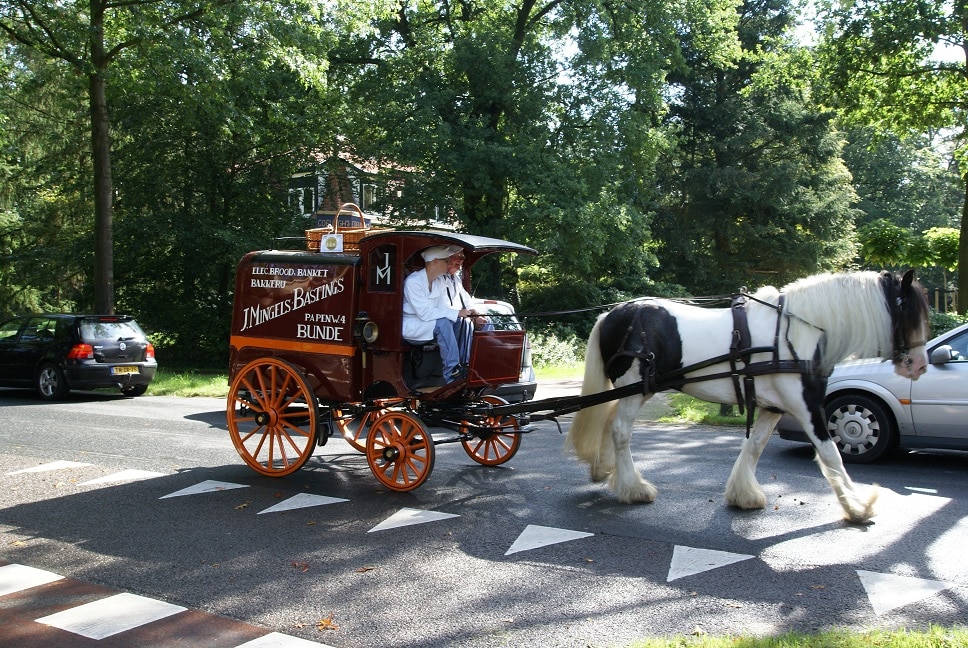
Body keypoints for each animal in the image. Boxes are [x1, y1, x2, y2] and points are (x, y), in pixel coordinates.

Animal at [568, 270, 932, 524]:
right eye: (908, 312)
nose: (920, 365)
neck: (797, 333)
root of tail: (612, 313)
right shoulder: (807, 406)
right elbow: (831, 455)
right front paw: (857, 508)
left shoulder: (773, 407)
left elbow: (755, 446)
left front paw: (743, 494)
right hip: (634, 388)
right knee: (620, 431)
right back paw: (634, 488)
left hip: (631, 391)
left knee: (609, 423)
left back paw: (605, 471)